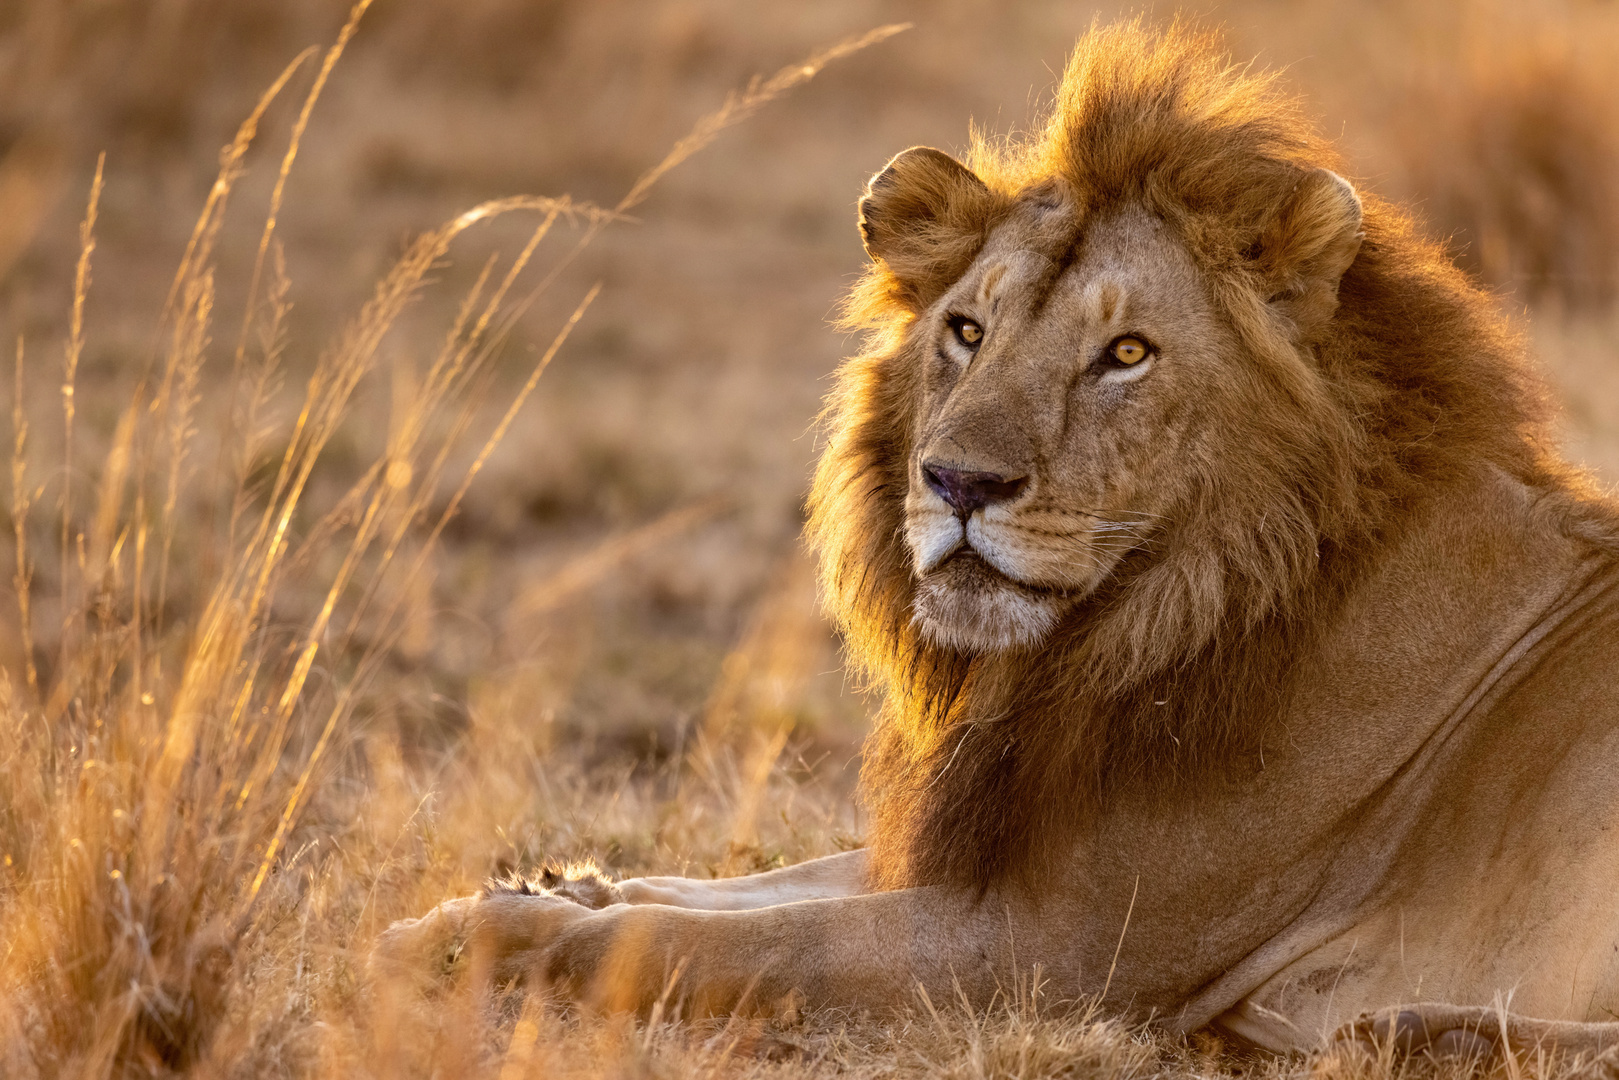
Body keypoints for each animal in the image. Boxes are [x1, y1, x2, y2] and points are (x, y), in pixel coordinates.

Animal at [382, 21, 1619, 1068]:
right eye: (965, 332)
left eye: (1125, 354)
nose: (958, 484)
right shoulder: (987, 848)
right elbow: (750, 888)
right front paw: (518, 896)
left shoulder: (1060, 948)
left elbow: (753, 941)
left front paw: (513, 940)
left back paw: (1410, 1031)